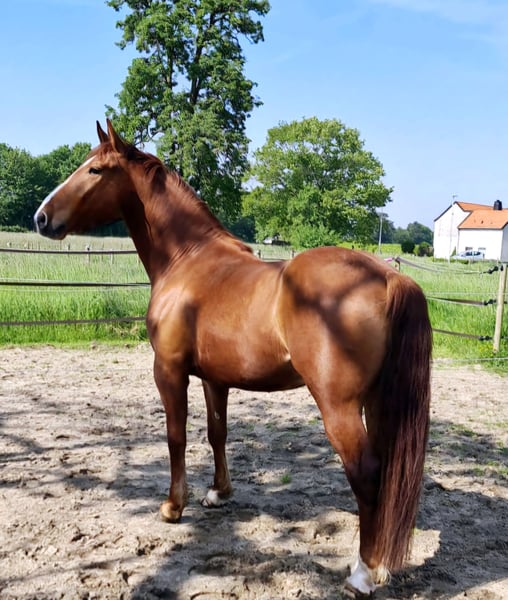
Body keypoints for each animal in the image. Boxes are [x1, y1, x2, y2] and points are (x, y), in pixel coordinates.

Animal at [34, 120, 432, 597]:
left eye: (94, 170)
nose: (41, 217)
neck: (189, 261)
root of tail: (388, 276)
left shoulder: (169, 371)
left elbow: (176, 436)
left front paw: (173, 506)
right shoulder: (214, 377)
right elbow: (216, 433)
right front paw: (218, 493)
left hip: (339, 408)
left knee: (368, 475)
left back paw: (363, 573)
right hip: (376, 402)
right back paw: (383, 566)